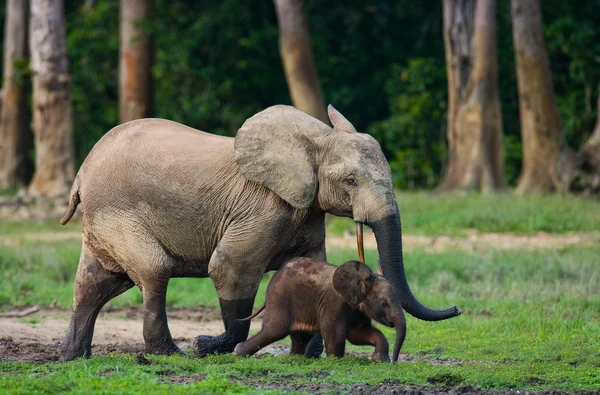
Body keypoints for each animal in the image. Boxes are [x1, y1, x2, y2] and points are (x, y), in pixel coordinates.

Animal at [232, 258, 406, 364]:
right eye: (384, 303)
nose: (395, 362)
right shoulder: (334, 303)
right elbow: (334, 333)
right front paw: (335, 361)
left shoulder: (357, 308)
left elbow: (357, 334)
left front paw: (379, 361)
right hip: (279, 298)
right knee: (276, 330)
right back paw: (238, 353)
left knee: (300, 338)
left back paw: (295, 358)